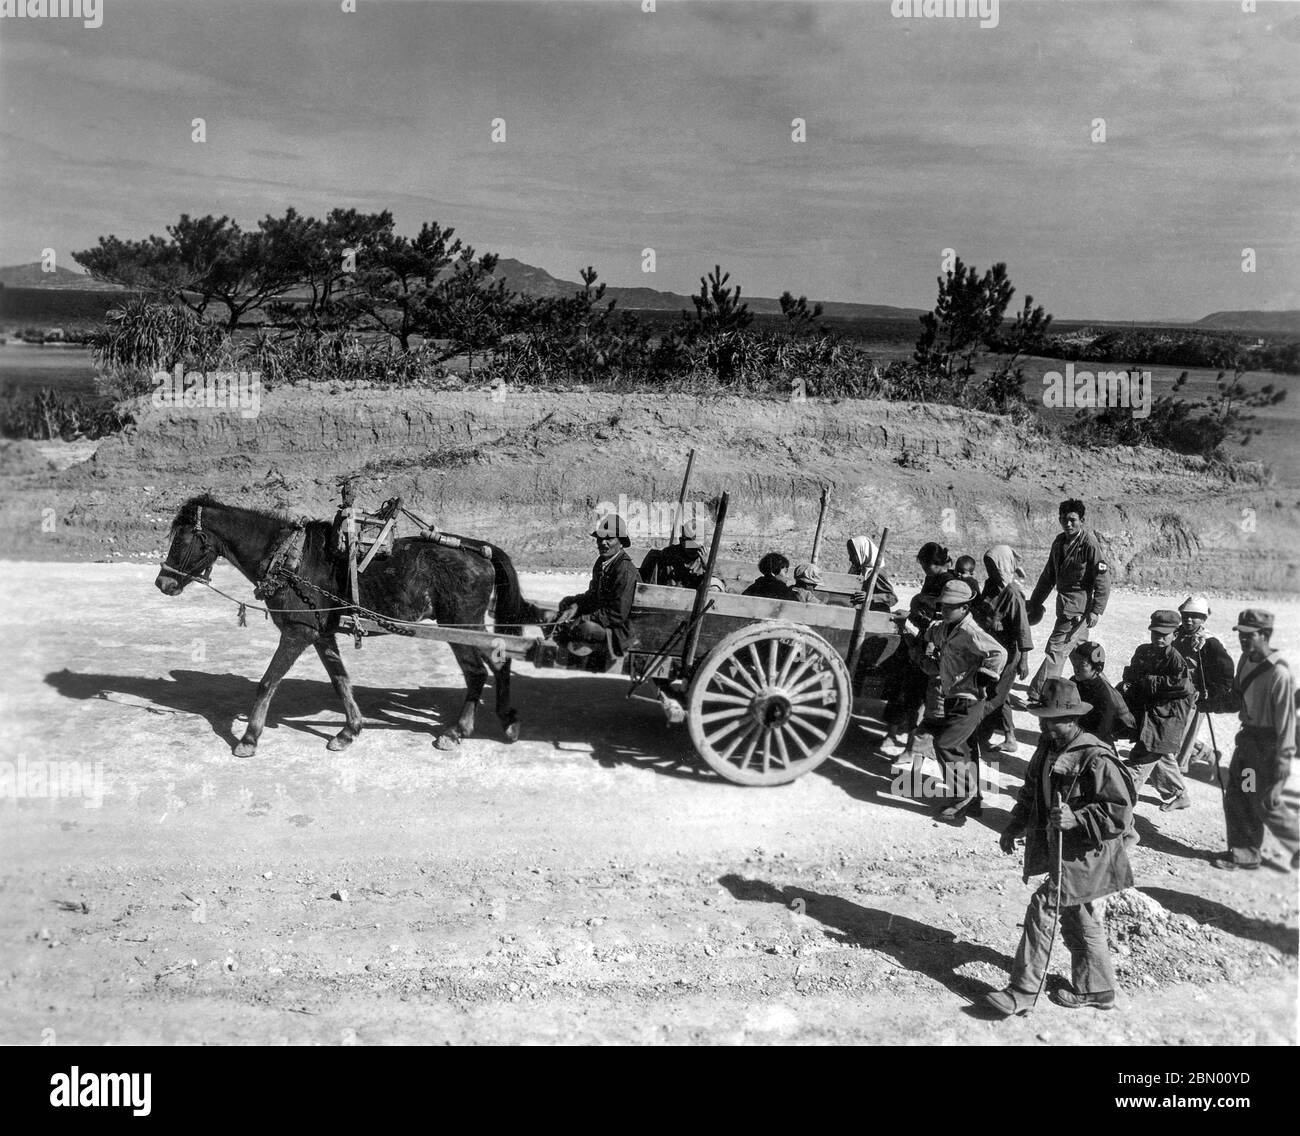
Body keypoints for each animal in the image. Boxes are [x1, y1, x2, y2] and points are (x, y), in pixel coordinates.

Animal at [156, 493, 543, 753]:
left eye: (183, 539)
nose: (163, 583)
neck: (288, 559)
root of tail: (480, 549)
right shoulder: (320, 633)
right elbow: (340, 680)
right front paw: (349, 730)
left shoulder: (297, 633)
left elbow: (267, 683)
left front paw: (249, 739)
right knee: (498, 663)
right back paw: (502, 722)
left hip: (461, 624)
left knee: (480, 671)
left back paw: (459, 731)